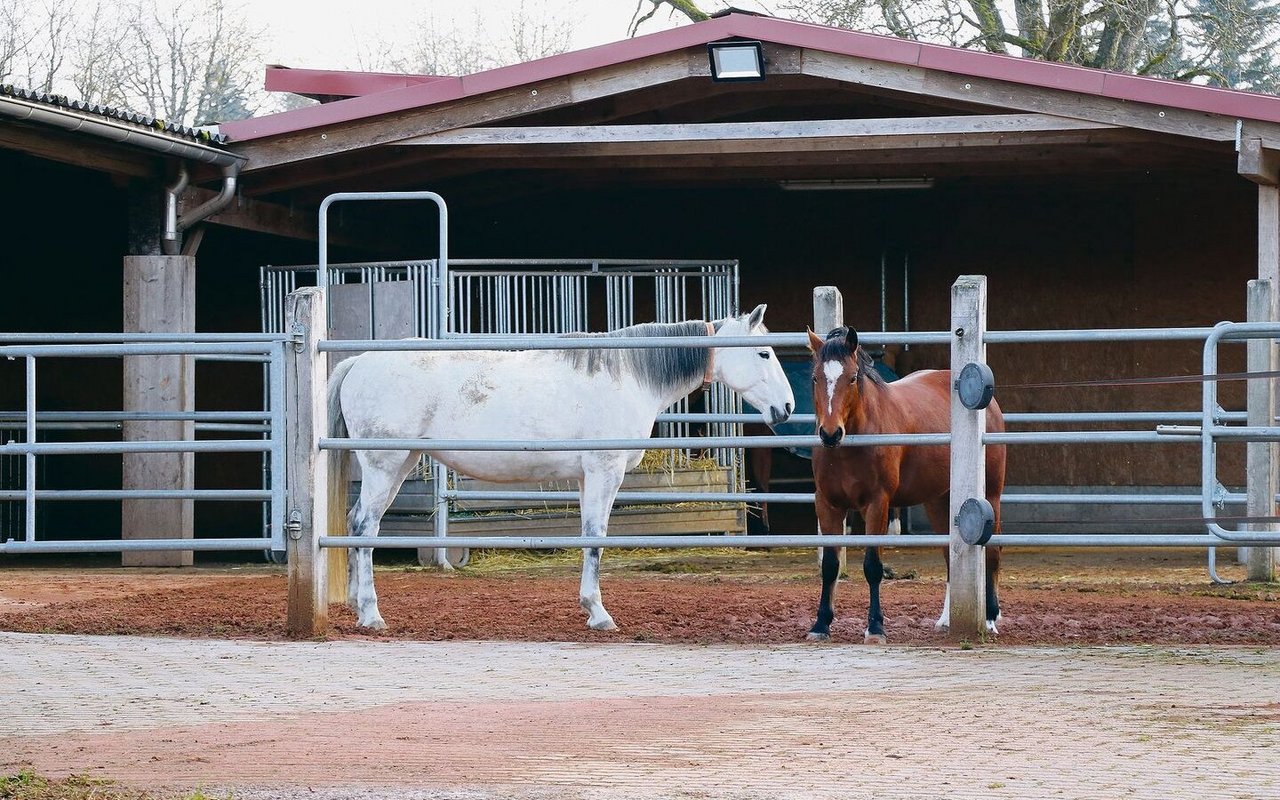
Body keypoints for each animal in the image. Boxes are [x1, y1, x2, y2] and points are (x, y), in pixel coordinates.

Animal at [330, 305, 788, 629]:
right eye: (763, 352)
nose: (786, 408)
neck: (627, 374)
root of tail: (359, 362)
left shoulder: (588, 478)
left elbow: (587, 537)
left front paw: (590, 606)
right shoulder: (605, 473)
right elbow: (597, 538)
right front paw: (600, 614)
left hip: (398, 466)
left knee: (355, 522)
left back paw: (354, 603)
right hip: (385, 466)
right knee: (365, 528)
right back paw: (371, 614)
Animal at [803, 325, 1003, 642]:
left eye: (852, 377)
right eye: (815, 377)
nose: (830, 433)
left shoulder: (877, 504)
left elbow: (872, 566)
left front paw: (875, 628)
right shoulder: (828, 504)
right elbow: (830, 566)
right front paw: (820, 625)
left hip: (991, 495)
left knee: (992, 552)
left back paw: (991, 617)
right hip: (939, 502)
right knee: (950, 556)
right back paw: (946, 619)